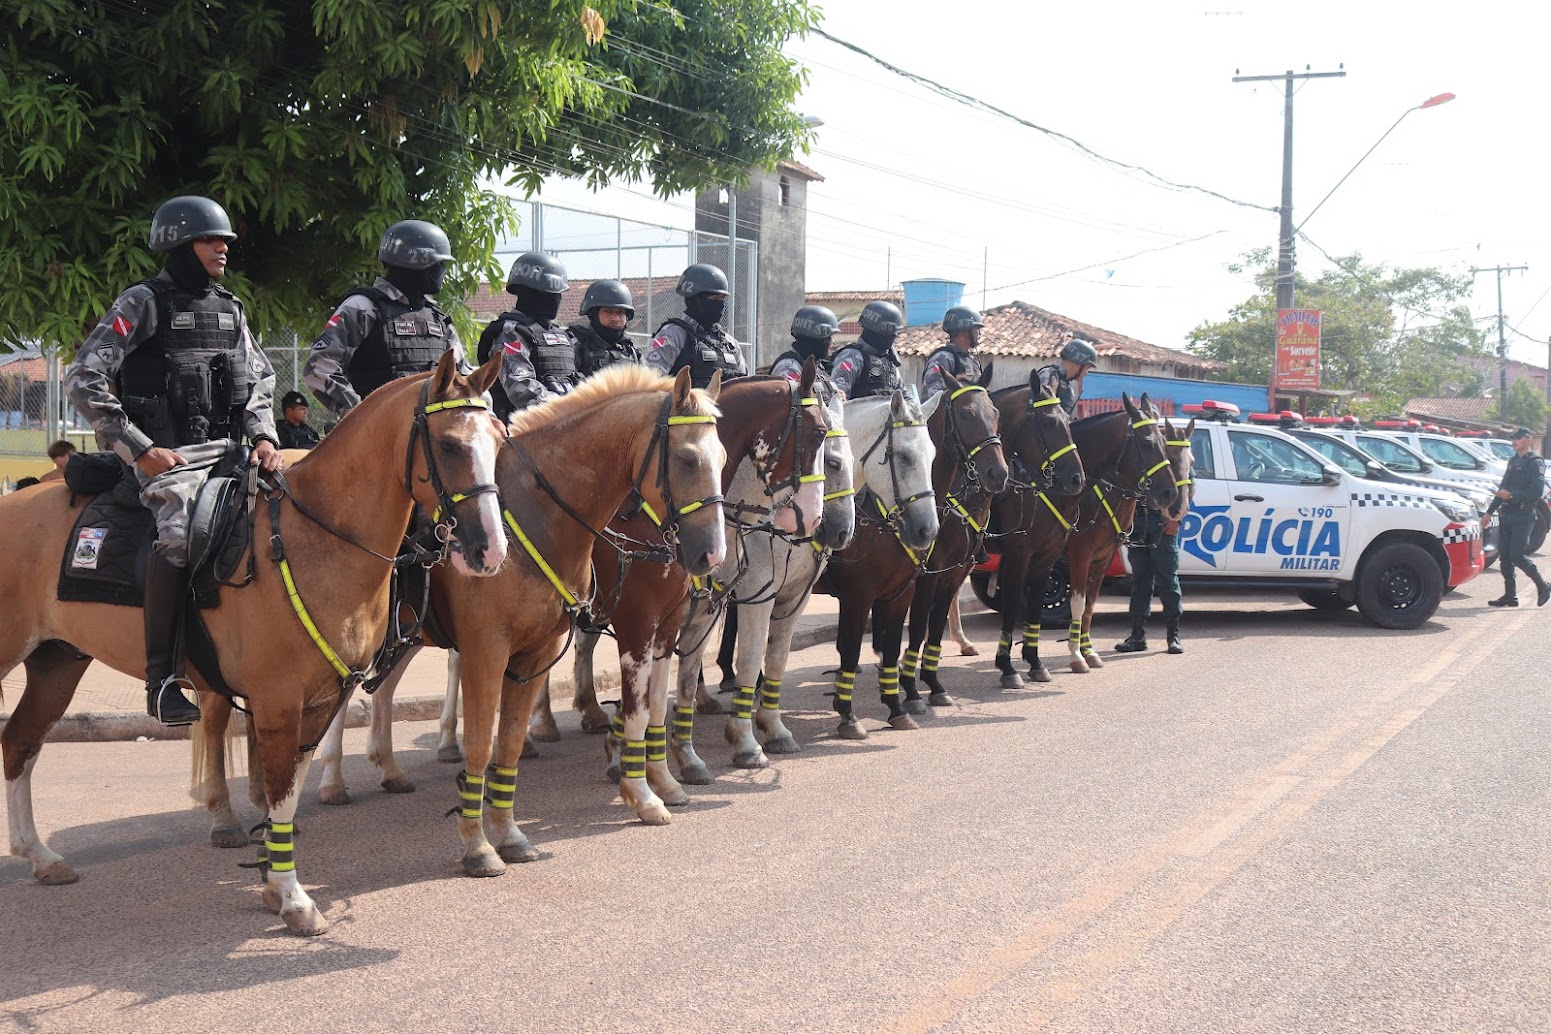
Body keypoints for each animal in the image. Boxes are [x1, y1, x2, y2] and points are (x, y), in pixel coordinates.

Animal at [3, 351, 505, 936]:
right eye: (449, 445)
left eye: (500, 440)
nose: (491, 549)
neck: (317, 541)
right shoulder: (277, 703)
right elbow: (281, 787)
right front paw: (291, 897)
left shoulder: (317, 703)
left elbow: (286, 797)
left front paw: (273, 883)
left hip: (58, 662)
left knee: (19, 743)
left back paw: (41, 857)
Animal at [663, 386, 930, 775]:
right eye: (906, 456)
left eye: (933, 456)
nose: (927, 529)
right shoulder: (769, 594)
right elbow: (754, 657)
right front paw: (747, 740)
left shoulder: (798, 597)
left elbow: (778, 656)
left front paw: (773, 727)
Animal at [812, 367, 1005, 741]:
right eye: (966, 415)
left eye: (996, 413)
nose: (999, 473)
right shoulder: (860, 595)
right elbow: (863, 645)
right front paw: (852, 714)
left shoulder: (915, 587)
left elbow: (901, 643)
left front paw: (901, 704)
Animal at [899, 365, 1091, 703]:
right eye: (1048, 422)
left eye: (996, 416)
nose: (1076, 478)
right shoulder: (1016, 555)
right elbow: (1013, 603)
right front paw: (1008, 667)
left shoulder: (1044, 557)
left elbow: (1035, 606)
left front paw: (1034, 662)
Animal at [1060, 392, 1178, 675]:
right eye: (1146, 443)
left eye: (1164, 442)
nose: (1170, 493)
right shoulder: (1079, 556)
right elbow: (1078, 602)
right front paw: (1076, 655)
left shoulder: (1102, 559)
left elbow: (1090, 604)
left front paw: (1089, 651)